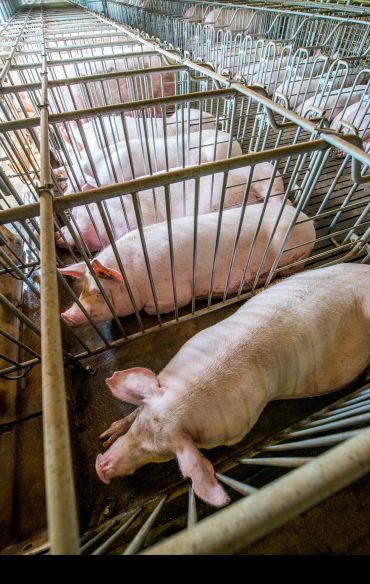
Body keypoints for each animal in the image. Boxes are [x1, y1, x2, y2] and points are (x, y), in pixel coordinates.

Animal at [58, 202, 316, 326]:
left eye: (97, 292)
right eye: (82, 289)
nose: (65, 316)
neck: (135, 278)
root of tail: (308, 221)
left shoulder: (175, 292)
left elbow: (160, 307)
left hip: (294, 255)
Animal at [94, 264, 370, 506]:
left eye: (158, 452)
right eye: (137, 429)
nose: (100, 467)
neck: (189, 392)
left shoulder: (240, 426)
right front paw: (106, 436)